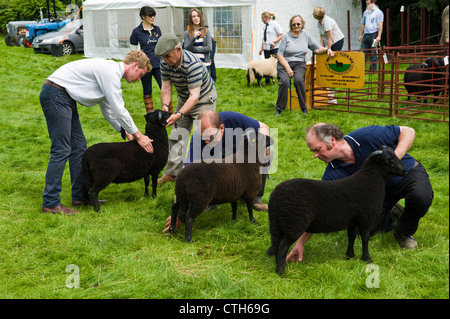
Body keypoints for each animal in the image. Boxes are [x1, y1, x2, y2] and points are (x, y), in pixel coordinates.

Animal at [268, 146, 408, 276]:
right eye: (390, 160)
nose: (405, 170)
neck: (371, 179)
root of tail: (276, 194)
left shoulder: (352, 220)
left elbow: (351, 236)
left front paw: (350, 255)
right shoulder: (365, 219)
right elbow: (365, 238)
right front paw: (367, 258)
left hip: (278, 224)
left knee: (277, 244)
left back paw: (277, 265)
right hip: (294, 223)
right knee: (283, 246)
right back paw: (281, 271)